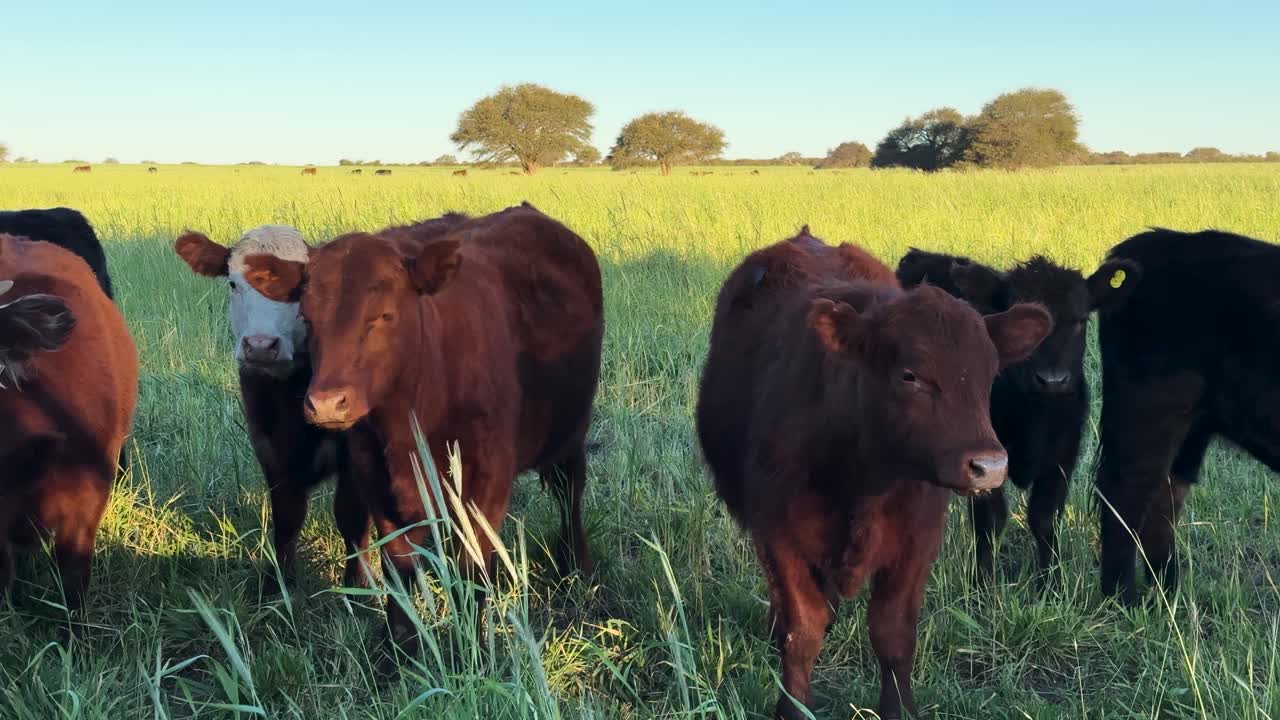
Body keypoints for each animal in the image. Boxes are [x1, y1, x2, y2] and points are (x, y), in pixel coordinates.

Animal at [238, 202, 603, 653]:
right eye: (307, 316)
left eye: (385, 315)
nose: (326, 403)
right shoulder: (376, 482)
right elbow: (397, 567)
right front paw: (396, 649)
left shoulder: (486, 482)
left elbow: (470, 571)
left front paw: (471, 649)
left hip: (571, 432)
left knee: (570, 493)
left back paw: (576, 567)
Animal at [696, 227, 1052, 720]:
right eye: (910, 376)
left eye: (990, 372)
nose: (989, 465)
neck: (862, 481)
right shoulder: (778, 535)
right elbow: (801, 630)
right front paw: (792, 706)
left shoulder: (917, 541)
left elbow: (893, 634)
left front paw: (899, 708)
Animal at [896, 249, 1139, 583]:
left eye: (1080, 320)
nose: (1052, 380)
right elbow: (989, 521)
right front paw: (982, 582)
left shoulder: (1063, 456)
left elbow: (1044, 516)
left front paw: (1050, 581)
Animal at [1095, 228, 1279, 605]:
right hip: (1148, 412)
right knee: (1125, 492)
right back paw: (1122, 599)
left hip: (1193, 426)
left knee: (1165, 495)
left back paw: (1168, 592)